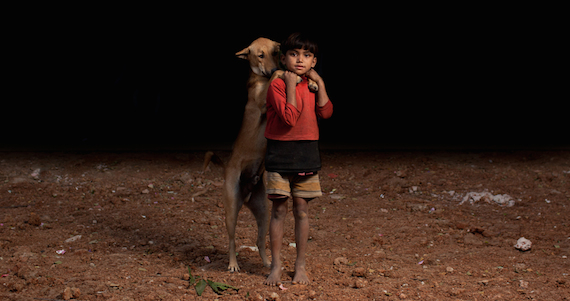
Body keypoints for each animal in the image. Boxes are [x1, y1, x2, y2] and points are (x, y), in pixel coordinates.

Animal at [203, 37, 318, 272]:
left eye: (276, 52)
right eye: (260, 55)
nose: (273, 67)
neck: (260, 78)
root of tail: (246, 193)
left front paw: (311, 81)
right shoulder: (265, 104)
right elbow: (280, 75)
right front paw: (288, 75)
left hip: (263, 211)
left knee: (260, 241)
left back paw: (268, 263)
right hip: (231, 209)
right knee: (231, 240)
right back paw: (233, 264)